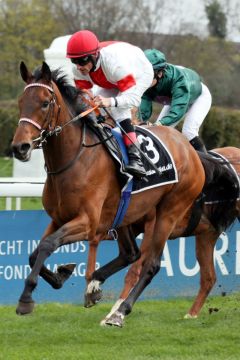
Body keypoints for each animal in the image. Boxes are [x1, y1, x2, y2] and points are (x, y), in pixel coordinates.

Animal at [10, 62, 236, 324]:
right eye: (21, 102)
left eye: (45, 103)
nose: (20, 147)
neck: (75, 160)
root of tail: (192, 152)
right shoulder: (58, 218)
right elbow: (34, 252)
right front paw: (61, 274)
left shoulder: (88, 223)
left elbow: (47, 245)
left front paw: (26, 299)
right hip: (132, 217)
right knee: (133, 254)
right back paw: (96, 287)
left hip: (169, 213)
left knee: (150, 264)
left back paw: (119, 312)